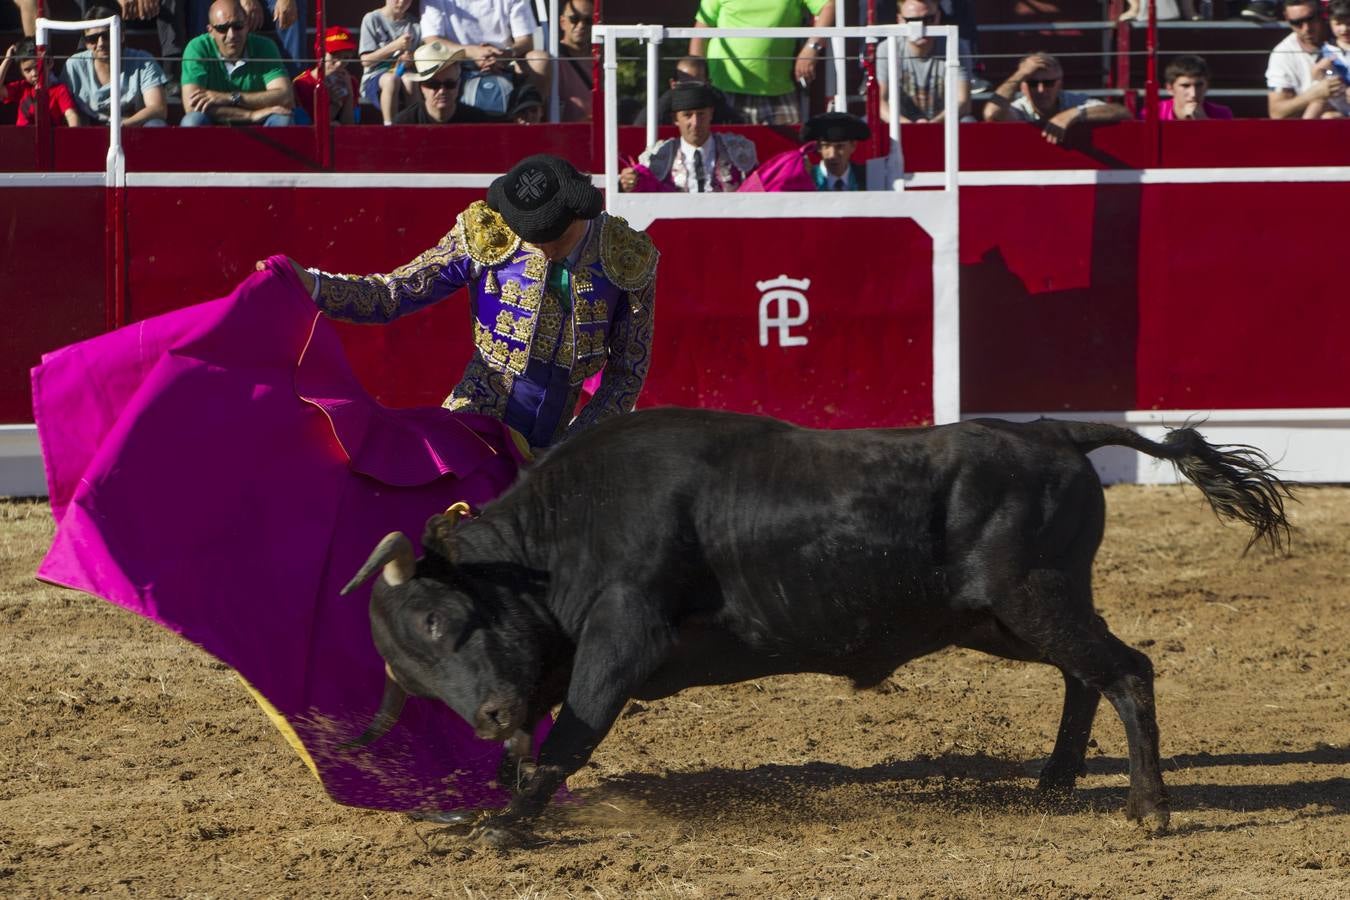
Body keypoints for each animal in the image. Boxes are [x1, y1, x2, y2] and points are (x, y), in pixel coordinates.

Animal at [337, 407, 1285, 831]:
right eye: (411, 674)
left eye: (434, 620)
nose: (487, 712)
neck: (555, 536)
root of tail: (1057, 432)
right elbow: (542, 735)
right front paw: (491, 804)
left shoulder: (623, 634)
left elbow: (572, 730)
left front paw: (507, 824)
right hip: (1003, 616)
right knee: (1085, 676)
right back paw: (1053, 783)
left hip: (1033, 599)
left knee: (1125, 670)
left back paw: (1150, 811)